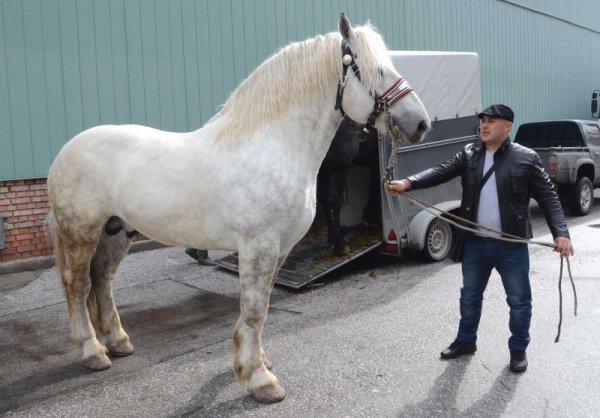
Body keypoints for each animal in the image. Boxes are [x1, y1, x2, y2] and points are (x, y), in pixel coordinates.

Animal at [48, 14, 432, 404]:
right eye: (376, 70)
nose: (421, 123)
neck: (274, 145)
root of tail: (66, 150)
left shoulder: (280, 248)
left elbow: (262, 307)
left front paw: (258, 362)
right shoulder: (258, 247)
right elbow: (254, 310)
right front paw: (259, 380)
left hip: (116, 231)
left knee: (102, 280)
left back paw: (117, 341)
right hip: (82, 232)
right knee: (77, 284)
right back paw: (93, 352)